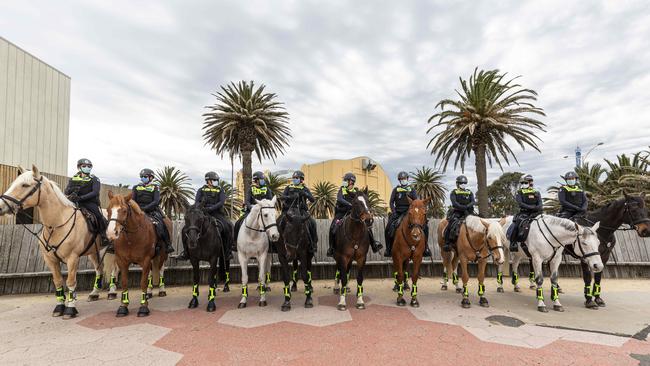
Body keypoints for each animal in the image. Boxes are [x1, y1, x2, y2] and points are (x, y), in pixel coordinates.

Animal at [0, 166, 107, 318]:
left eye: (25, 185)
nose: (1, 206)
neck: (57, 224)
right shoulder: (50, 259)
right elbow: (57, 282)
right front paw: (59, 307)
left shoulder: (72, 259)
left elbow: (71, 282)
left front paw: (70, 309)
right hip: (94, 252)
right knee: (99, 269)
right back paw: (94, 294)